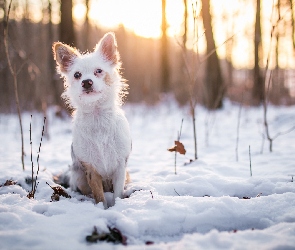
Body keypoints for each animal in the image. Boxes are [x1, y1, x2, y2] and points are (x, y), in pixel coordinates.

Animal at [53, 33, 132, 209]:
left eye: (98, 71)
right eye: (77, 75)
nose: (86, 82)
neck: (97, 115)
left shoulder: (120, 168)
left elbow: (117, 193)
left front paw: (117, 206)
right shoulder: (91, 170)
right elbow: (99, 195)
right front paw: (102, 208)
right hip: (79, 177)